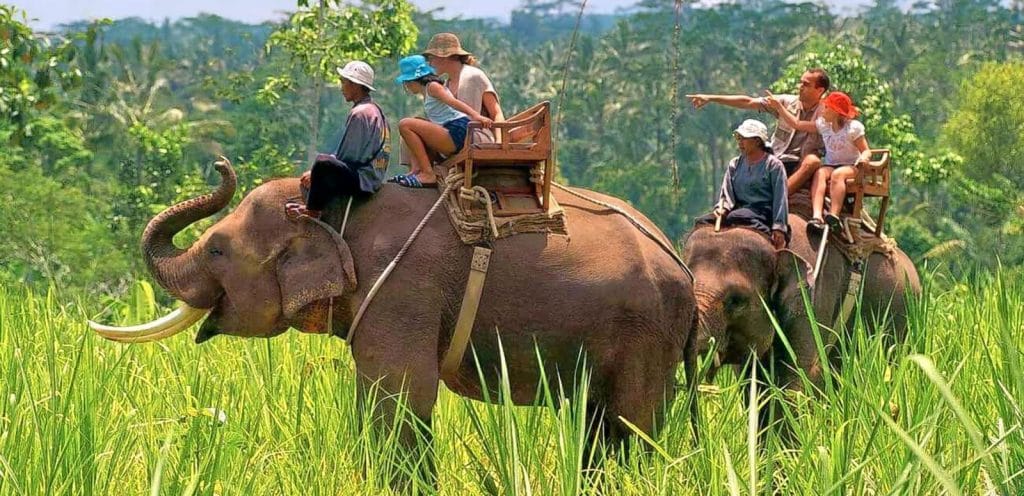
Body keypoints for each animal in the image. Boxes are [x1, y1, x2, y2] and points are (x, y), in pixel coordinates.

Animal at [91, 159, 697, 478]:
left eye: (216, 249)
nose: (221, 165)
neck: (336, 210)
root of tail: (682, 267)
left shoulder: (403, 288)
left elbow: (401, 390)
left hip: (644, 332)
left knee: (628, 423)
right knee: (601, 421)